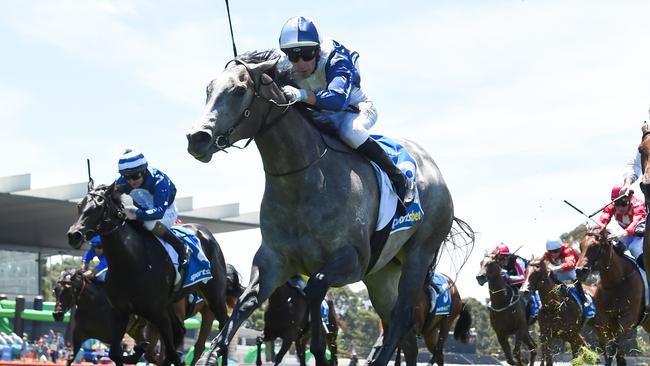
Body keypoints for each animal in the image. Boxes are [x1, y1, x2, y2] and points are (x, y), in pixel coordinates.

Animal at [66, 184, 237, 366]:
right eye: (79, 206)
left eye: (98, 207)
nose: (73, 235)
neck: (131, 262)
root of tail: (205, 232)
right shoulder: (121, 312)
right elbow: (115, 354)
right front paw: (136, 351)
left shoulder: (158, 314)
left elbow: (171, 352)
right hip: (172, 305)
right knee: (182, 332)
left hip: (213, 297)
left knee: (223, 327)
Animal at [185, 50, 454, 366]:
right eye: (208, 89)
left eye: (239, 90)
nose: (197, 138)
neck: (303, 181)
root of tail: (433, 168)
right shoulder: (274, 259)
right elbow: (246, 302)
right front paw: (210, 356)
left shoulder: (353, 260)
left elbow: (315, 287)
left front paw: (320, 351)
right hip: (383, 274)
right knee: (406, 332)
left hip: (417, 255)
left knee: (400, 318)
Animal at [576, 227, 644, 364]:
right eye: (581, 246)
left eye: (595, 246)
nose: (579, 271)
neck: (616, 281)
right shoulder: (608, 322)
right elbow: (614, 351)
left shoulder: (627, 319)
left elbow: (613, 347)